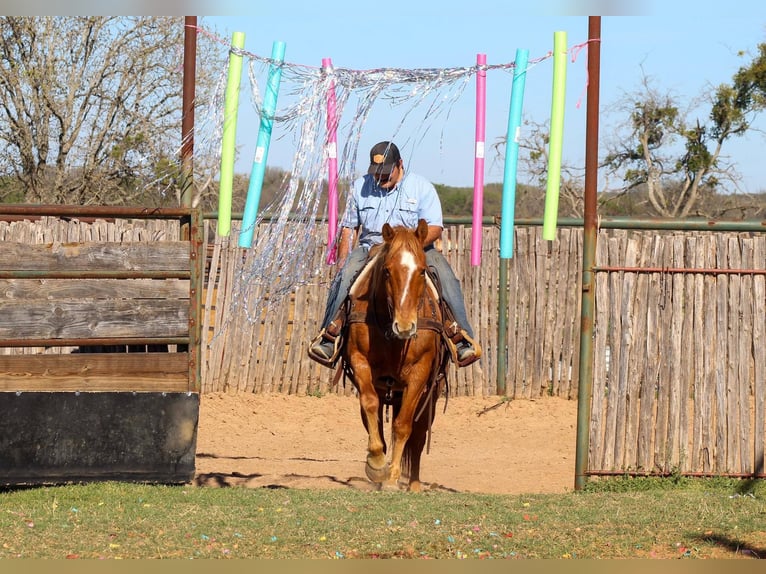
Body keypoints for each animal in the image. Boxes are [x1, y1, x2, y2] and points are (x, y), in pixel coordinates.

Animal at [342, 219, 449, 491]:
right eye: (387, 271)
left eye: (421, 271)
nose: (405, 326)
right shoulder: (360, 362)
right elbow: (371, 407)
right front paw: (377, 465)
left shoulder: (420, 373)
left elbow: (403, 426)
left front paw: (391, 477)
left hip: (431, 391)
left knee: (418, 435)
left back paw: (414, 483)